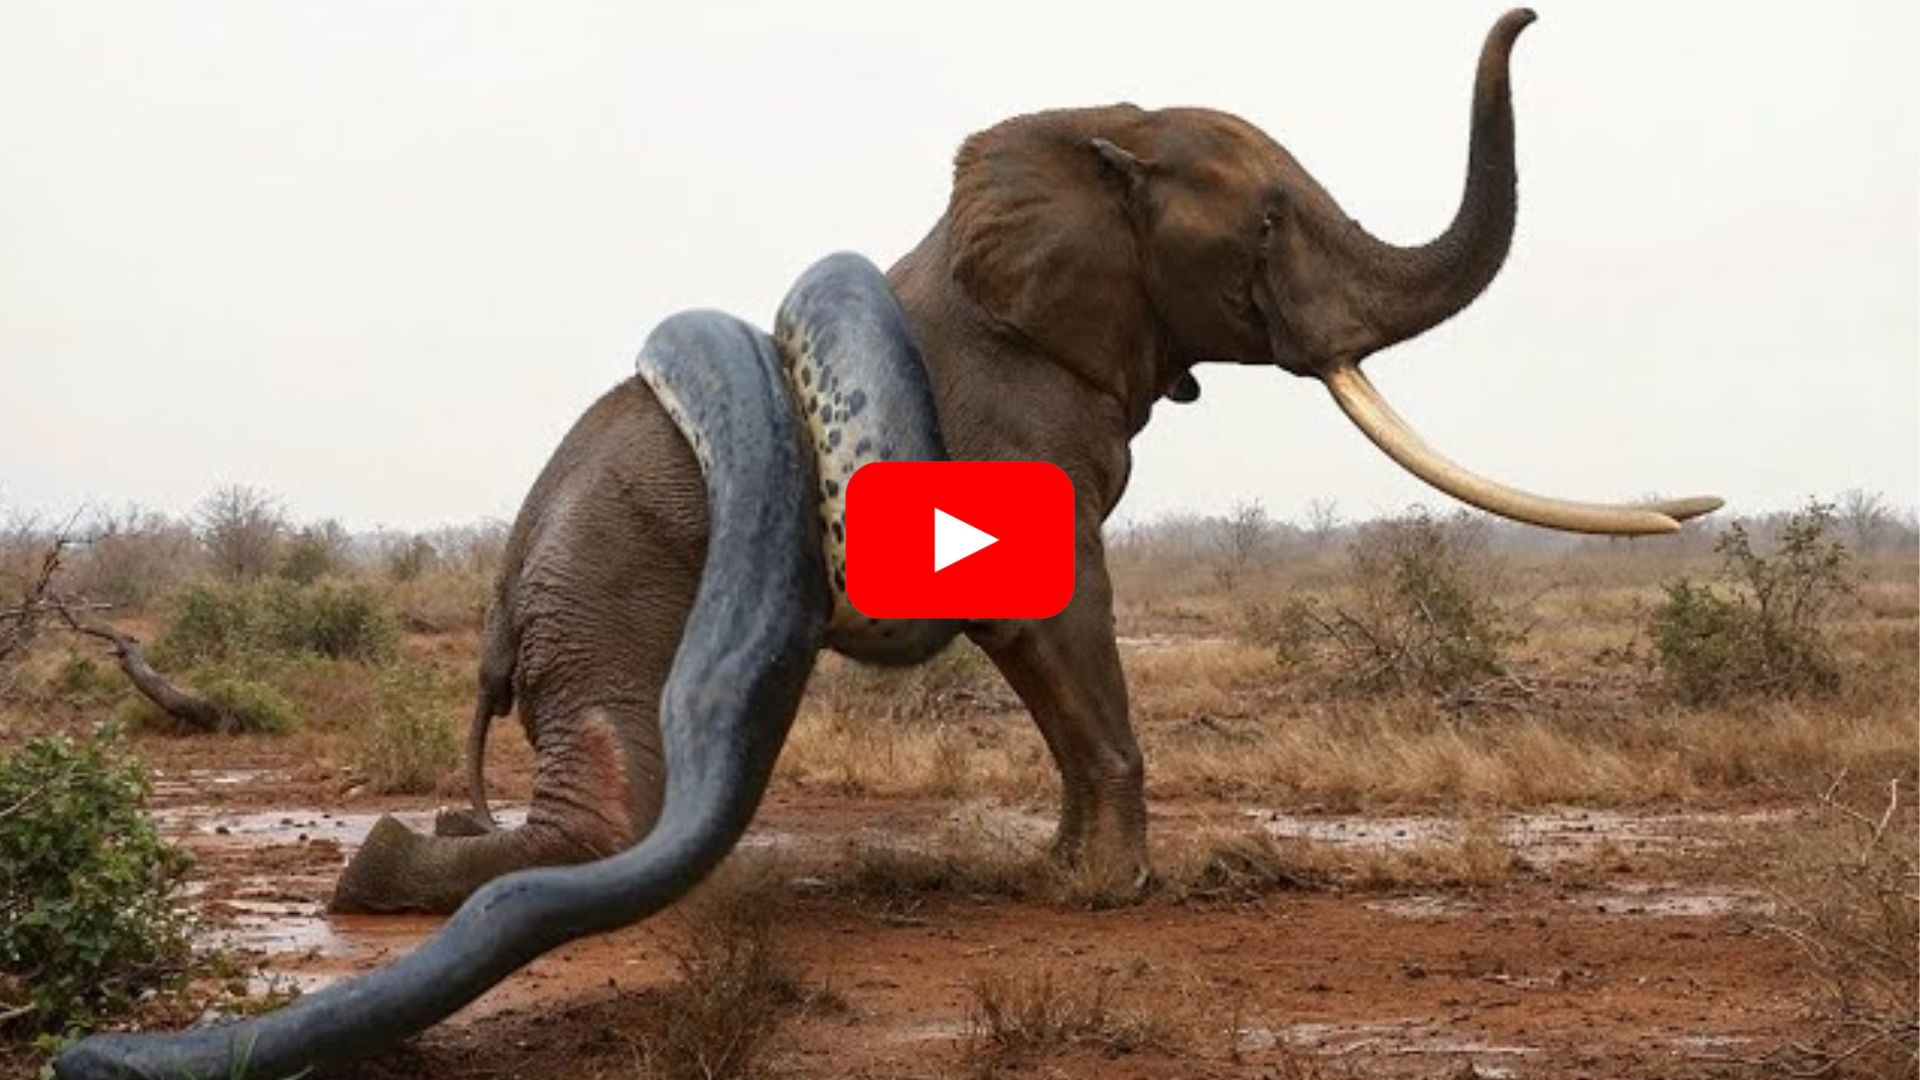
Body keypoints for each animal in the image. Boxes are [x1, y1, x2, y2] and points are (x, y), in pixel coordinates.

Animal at [57, 10, 1720, 1078]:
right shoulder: (1021, 428)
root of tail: (497, 609)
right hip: (615, 583)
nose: (1532, 16)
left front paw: (1058, 882)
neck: (1084, 141)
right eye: (1261, 230)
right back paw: (393, 872)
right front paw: (1110, 898)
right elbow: (1058, 620)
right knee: (619, 806)